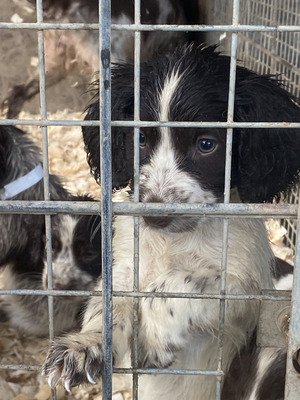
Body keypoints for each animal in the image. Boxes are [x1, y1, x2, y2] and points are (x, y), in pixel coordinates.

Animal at [42, 44, 300, 400]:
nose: (154, 215)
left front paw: (156, 337)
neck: (174, 241)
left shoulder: (245, 293)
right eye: (140, 140)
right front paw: (83, 346)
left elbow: (178, 284)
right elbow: (106, 304)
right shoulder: (125, 267)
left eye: (206, 145)